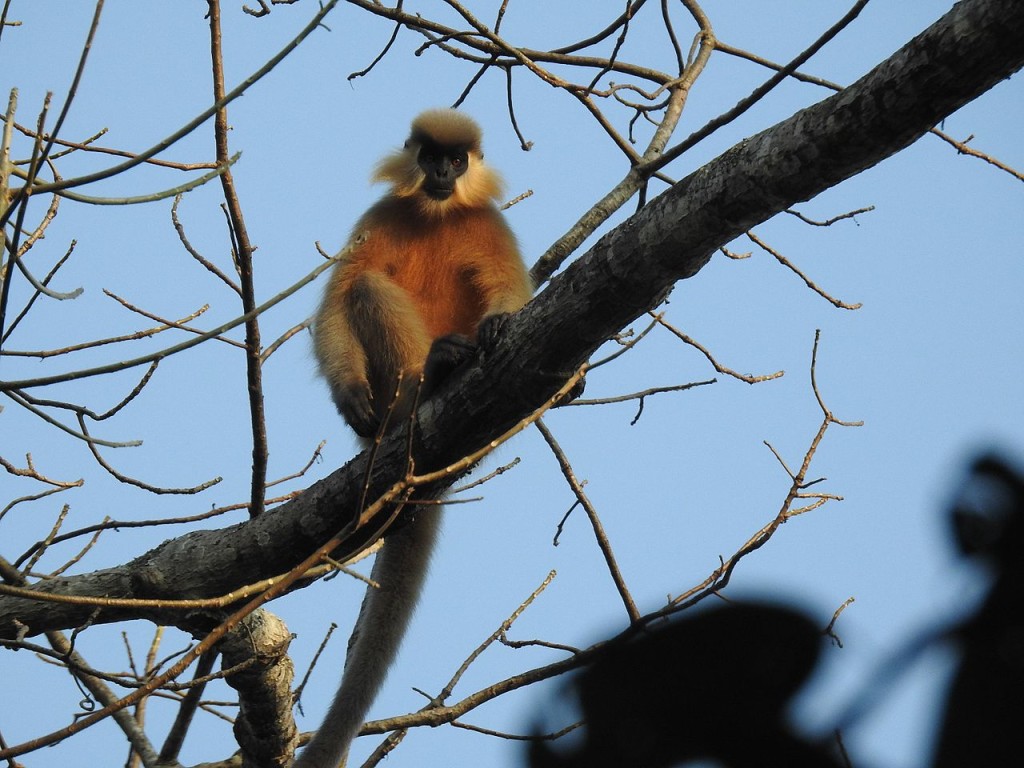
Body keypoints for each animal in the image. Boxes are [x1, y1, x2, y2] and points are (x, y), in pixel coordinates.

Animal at [296, 108, 532, 768]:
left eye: (457, 160)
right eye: (430, 158)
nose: (443, 175)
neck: (436, 215)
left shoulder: (490, 224)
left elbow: (510, 288)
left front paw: (499, 325)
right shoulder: (379, 215)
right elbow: (339, 295)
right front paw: (348, 394)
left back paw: (446, 371)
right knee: (367, 287)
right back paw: (427, 384)